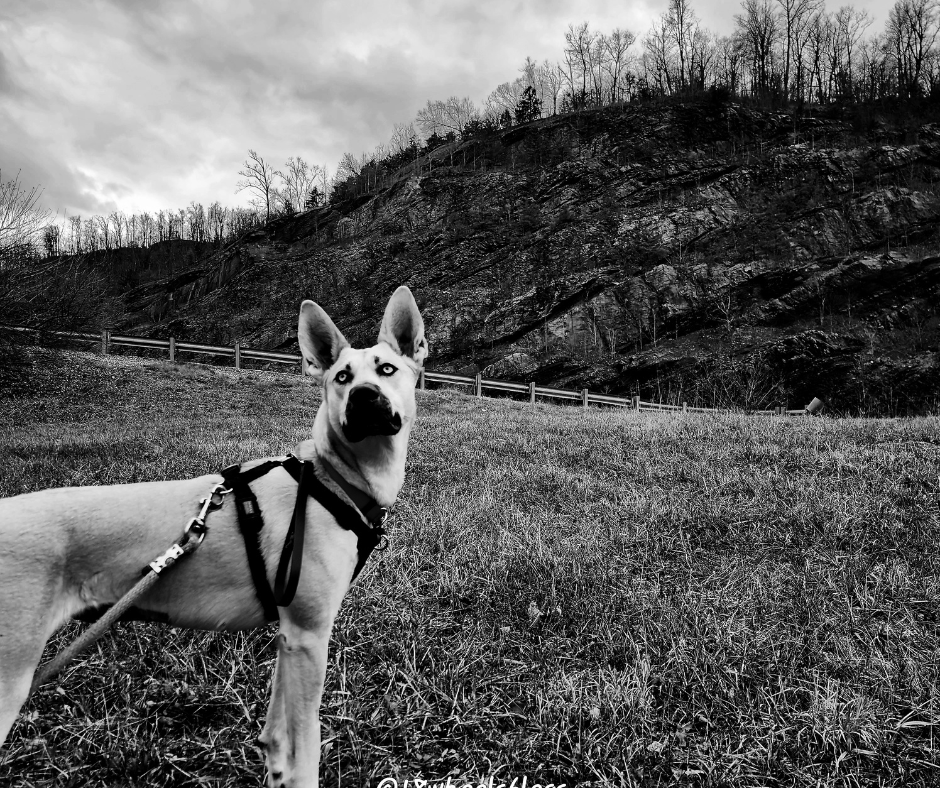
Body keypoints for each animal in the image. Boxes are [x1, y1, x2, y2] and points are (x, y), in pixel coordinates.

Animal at [0, 286, 426, 784]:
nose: (361, 396)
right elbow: (305, 752)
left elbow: (277, 738)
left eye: (387, 369)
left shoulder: (290, 639)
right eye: (342, 376)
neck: (330, 477)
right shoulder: (309, 635)